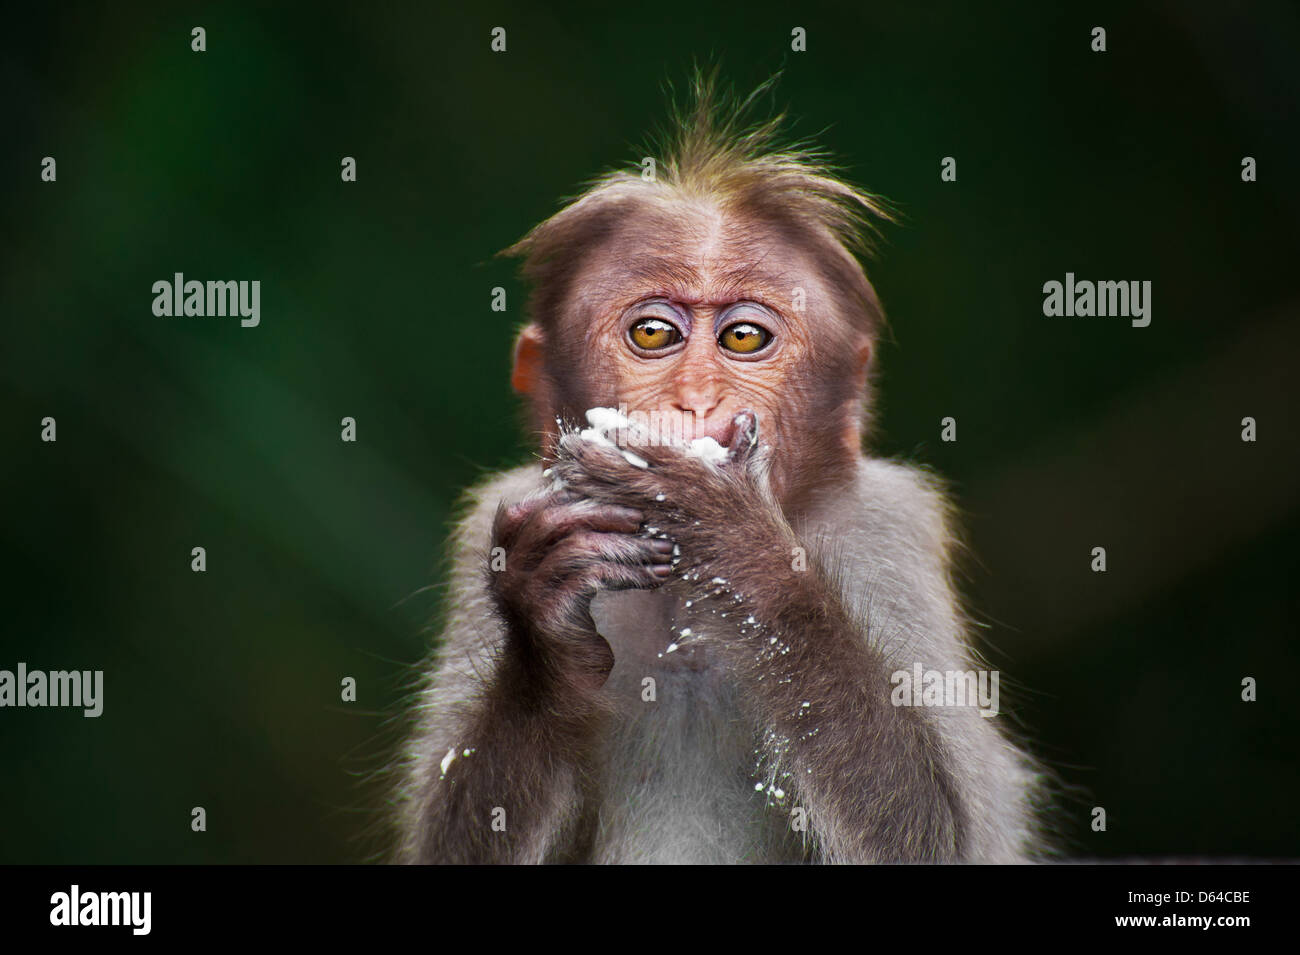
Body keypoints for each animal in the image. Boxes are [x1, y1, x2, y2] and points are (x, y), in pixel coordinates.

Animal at [392, 76, 1045, 867]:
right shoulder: (492, 524)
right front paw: (544, 628)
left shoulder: (888, 530)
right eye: (653, 334)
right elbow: (444, 843)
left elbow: (942, 830)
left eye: (742, 338)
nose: (697, 396)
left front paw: (736, 539)